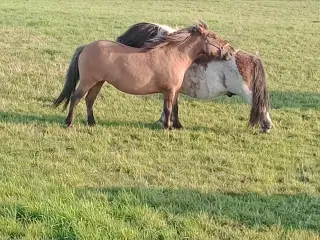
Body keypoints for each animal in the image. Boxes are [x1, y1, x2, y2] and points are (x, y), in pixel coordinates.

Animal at [53, 21, 235, 129]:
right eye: (214, 37)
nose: (231, 52)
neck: (174, 55)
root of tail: (85, 47)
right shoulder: (169, 91)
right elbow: (168, 108)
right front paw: (167, 127)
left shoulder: (174, 91)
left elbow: (174, 108)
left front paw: (177, 125)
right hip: (87, 81)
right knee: (76, 98)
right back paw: (69, 122)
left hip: (98, 82)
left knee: (89, 100)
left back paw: (92, 123)